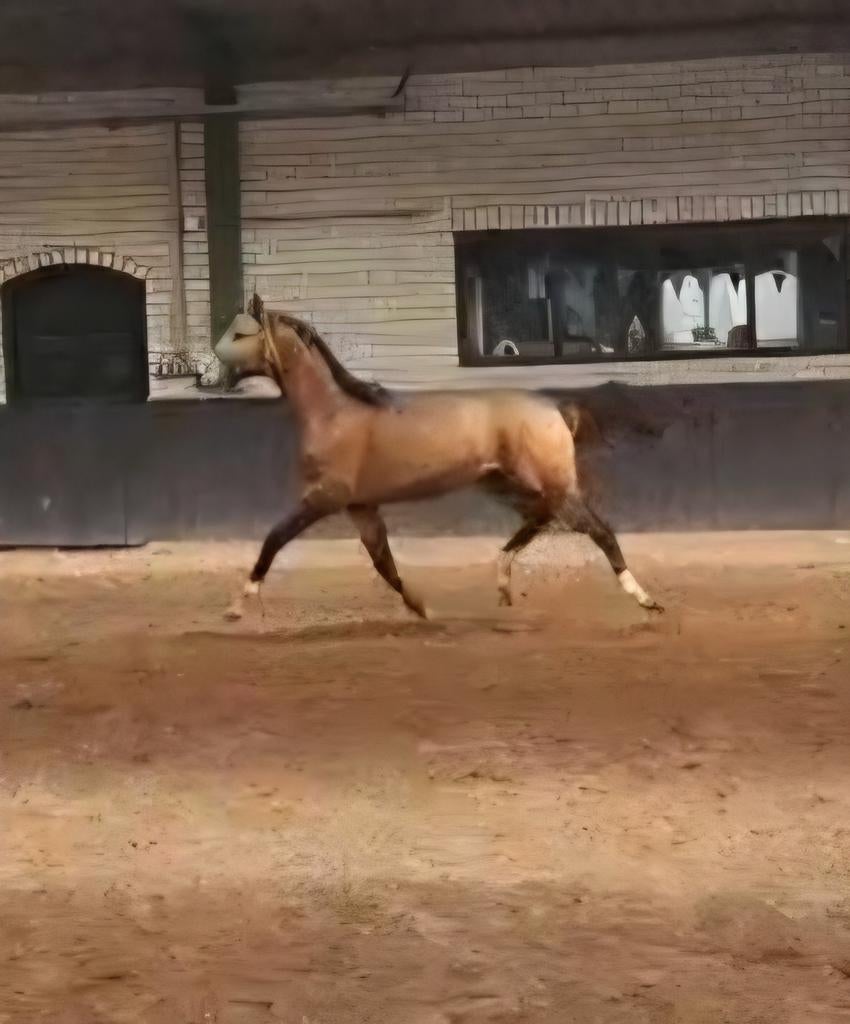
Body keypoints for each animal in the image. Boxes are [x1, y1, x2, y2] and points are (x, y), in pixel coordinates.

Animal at [214, 297, 663, 621]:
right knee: (540, 519)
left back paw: (646, 599)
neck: (334, 414)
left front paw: (237, 605)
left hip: (551, 484)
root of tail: (554, 409)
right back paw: (503, 582)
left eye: (239, 333)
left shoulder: (325, 497)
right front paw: (424, 609)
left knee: (599, 531)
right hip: (506, 484)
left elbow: (274, 539)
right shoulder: (361, 507)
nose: (215, 368)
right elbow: (384, 563)